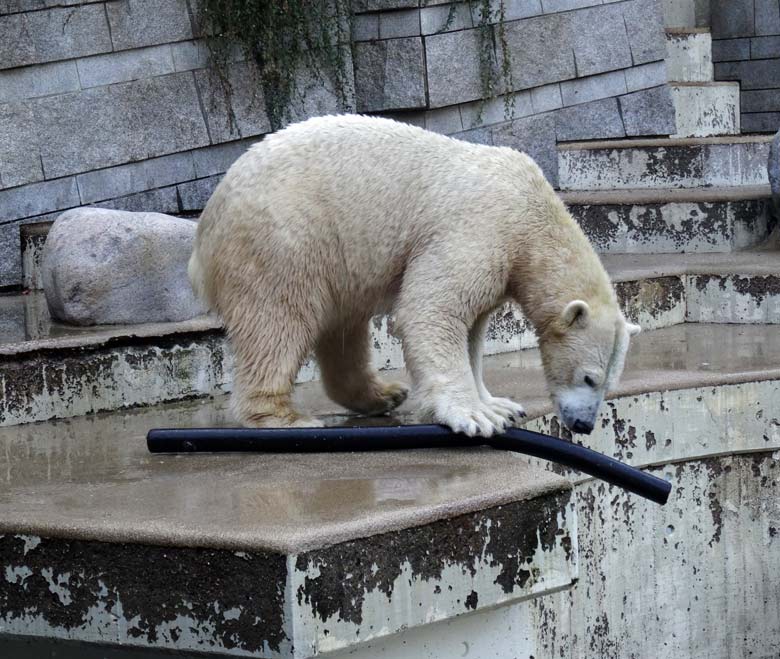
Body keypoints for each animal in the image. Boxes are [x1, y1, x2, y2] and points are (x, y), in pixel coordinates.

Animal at [189, 116, 640, 436]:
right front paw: (474, 416)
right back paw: (283, 417)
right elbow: (434, 308)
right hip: (285, 238)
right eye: (588, 377)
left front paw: (497, 404)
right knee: (278, 320)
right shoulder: (480, 229)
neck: (532, 215)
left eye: (609, 383)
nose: (584, 425)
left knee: (342, 327)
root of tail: (207, 225)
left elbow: (471, 329)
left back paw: (383, 395)